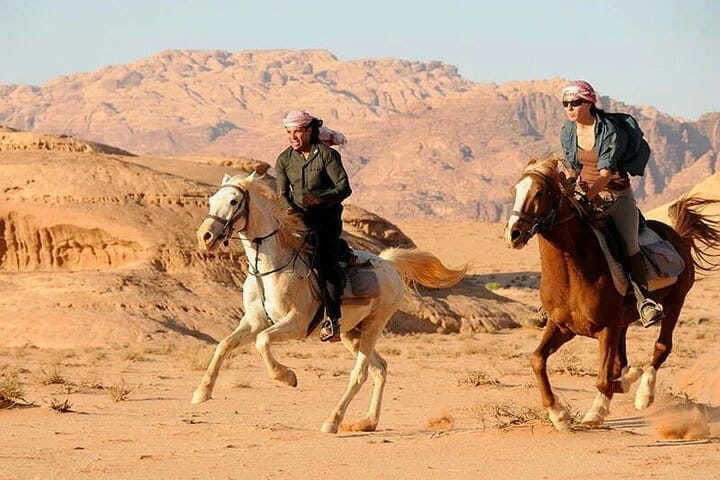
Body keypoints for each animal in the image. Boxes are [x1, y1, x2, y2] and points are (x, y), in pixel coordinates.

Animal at [191, 172, 466, 434]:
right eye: (211, 200)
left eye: (233, 201)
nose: (205, 236)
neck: (270, 268)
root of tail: (389, 264)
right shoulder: (254, 321)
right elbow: (224, 345)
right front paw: (202, 392)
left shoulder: (296, 323)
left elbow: (262, 341)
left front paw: (287, 376)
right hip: (350, 333)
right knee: (380, 368)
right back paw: (367, 422)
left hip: (374, 325)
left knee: (360, 374)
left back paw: (332, 421)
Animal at [504, 158, 720, 430]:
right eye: (514, 191)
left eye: (540, 192)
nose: (513, 234)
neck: (574, 271)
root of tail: (679, 236)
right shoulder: (563, 326)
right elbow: (537, 360)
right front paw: (559, 414)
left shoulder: (606, 329)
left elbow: (604, 380)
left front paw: (600, 408)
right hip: (625, 321)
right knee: (621, 361)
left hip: (674, 303)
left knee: (661, 347)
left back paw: (643, 395)